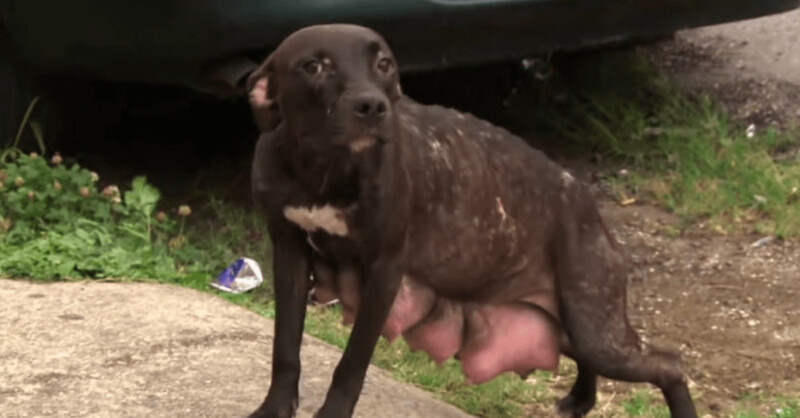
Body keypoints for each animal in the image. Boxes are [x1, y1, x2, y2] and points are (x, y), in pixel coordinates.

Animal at [247, 23, 696, 418]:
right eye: (313, 66)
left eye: (385, 64)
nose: (372, 105)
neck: (323, 169)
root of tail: (587, 203)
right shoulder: (289, 255)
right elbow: (284, 348)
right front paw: (273, 408)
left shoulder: (383, 272)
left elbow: (351, 364)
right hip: (570, 324)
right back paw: (580, 400)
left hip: (597, 329)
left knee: (669, 365)